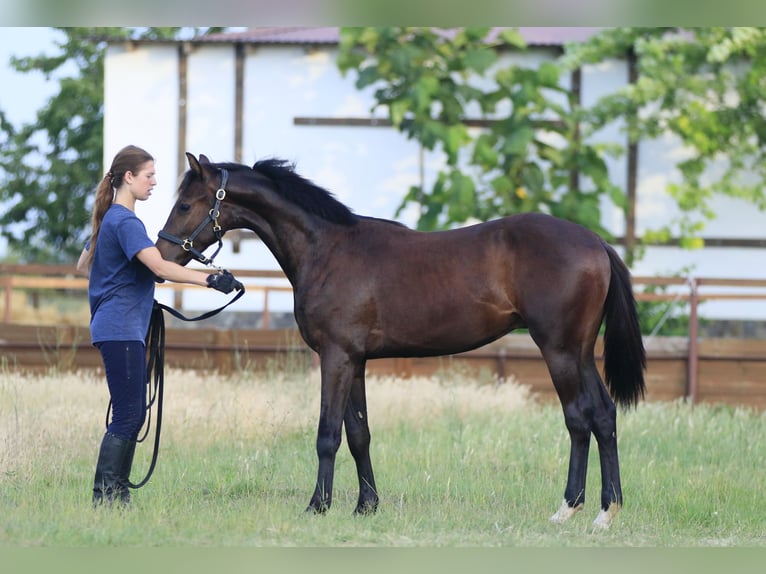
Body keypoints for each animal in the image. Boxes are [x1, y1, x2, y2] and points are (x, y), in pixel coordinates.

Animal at [158, 153, 648, 532]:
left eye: (185, 204)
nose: (161, 256)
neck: (327, 249)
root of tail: (596, 242)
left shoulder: (335, 358)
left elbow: (327, 435)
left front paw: (317, 506)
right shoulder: (355, 361)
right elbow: (359, 434)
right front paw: (366, 506)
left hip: (560, 350)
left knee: (578, 420)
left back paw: (570, 509)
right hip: (581, 353)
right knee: (603, 416)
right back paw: (606, 512)